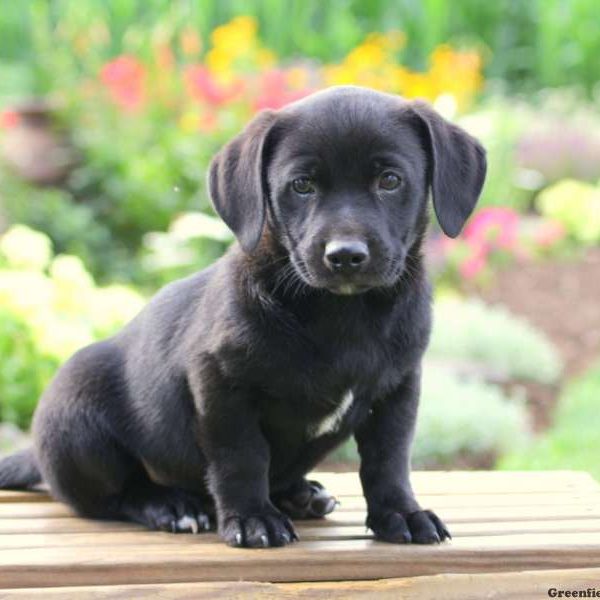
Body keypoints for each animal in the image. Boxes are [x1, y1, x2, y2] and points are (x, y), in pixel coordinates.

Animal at [0, 85, 482, 548]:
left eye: (390, 180)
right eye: (301, 185)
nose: (345, 256)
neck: (342, 313)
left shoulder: (398, 388)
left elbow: (389, 459)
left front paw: (400, 513)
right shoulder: (221, 384)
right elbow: (242, 457)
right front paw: (253, 519)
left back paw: (301, 494)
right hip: (77, 417)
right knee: (116, 494)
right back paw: (172, 505)